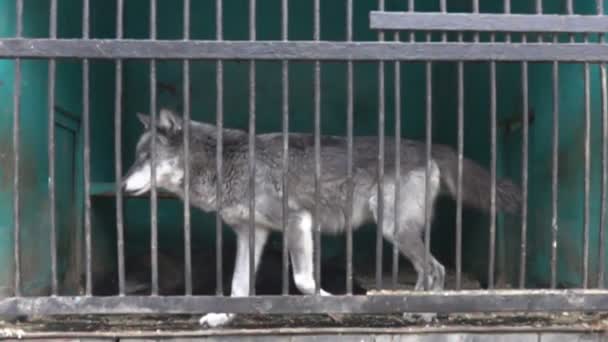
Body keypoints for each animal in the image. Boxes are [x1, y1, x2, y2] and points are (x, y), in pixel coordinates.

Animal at [123, 108, 524, 328]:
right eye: (137, 156)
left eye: (147, 158)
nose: (123, 185)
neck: (226, 164)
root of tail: (427, 147)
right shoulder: (252, 234)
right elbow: (238, 287)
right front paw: (223, 318)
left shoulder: (296, 221)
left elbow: (302, 281)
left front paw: (336, 310)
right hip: (397, 232)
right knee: (428, 270)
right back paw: (413, 311)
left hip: (393, 229)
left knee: (436, 269)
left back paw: (426, 316)